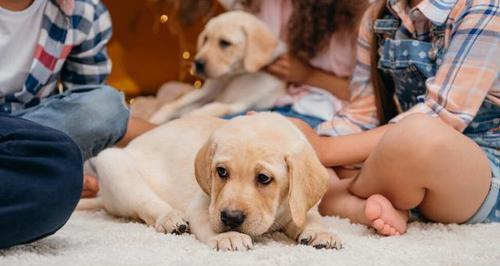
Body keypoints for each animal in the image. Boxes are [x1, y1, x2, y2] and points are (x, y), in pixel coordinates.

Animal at [78, 113, 342, 250]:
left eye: (264, 178)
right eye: (221, 172)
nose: (231, 218)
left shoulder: (300, 204)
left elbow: (311, 217)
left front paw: (321, 233)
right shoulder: (204, 204)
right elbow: (207, 221)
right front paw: (227, 236)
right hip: (113, 163)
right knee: (147, 205)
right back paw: (171, 218)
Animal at [149, 11, 286, 124]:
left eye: (225, 43)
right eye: (205, 39)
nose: (197, 63)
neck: (232, 77)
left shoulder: (242, 104)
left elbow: (215, 108)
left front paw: (186, 117)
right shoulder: (206, 92)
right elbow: (175, 104)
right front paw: (156, 118)